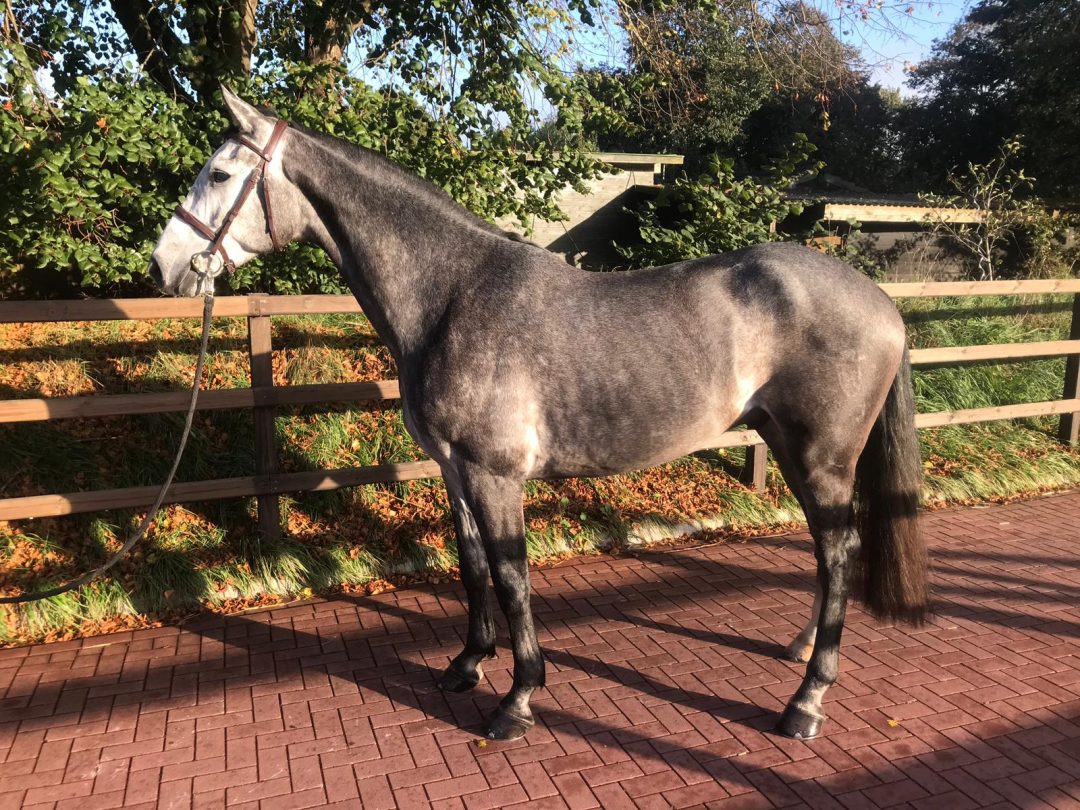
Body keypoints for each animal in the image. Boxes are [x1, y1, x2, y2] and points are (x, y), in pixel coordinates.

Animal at [149, 87, 929, 742]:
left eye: (221, 175)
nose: (163, 267)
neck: (451, 295)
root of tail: (882, 302)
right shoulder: (456, 472)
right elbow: (471, 567)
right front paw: (467, 665)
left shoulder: (497, 475)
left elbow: (512, 575)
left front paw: (518, 700)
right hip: (791, 447)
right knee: (830, 554)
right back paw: (801, 652)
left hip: (821, 458)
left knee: (837, 551)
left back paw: (806, 701)